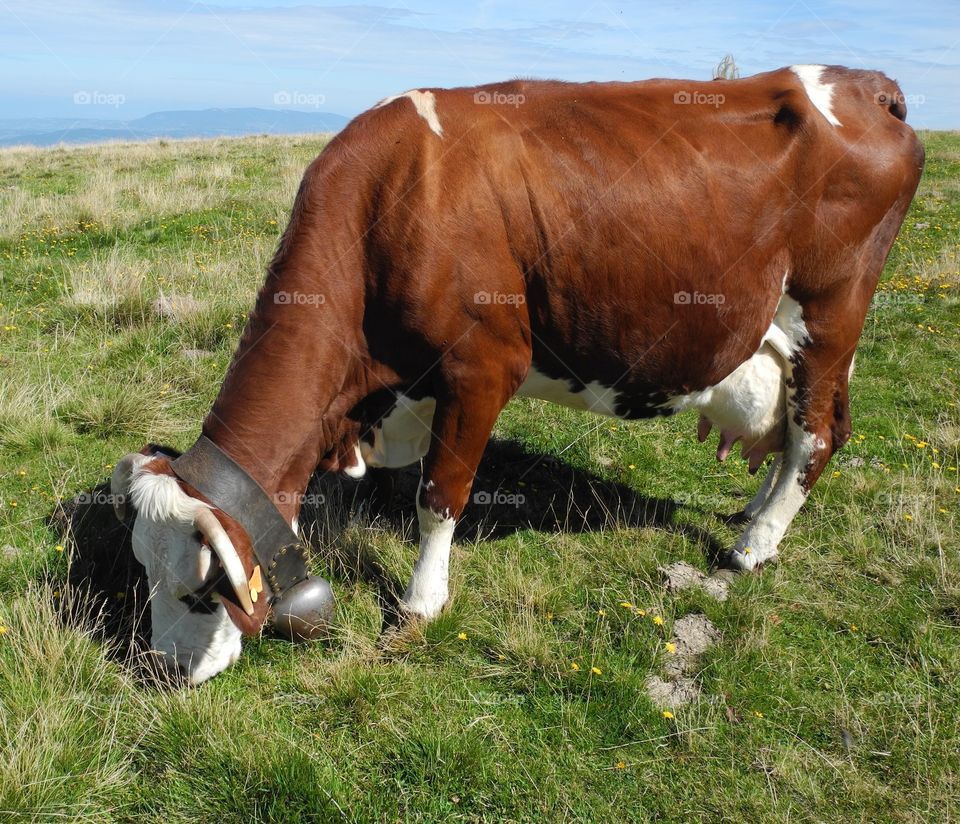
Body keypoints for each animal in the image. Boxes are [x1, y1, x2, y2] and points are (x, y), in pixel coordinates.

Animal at [110, 62, 924, 684]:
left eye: (198, 592)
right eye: (140, 570)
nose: (163, 672)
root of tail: (862, 84)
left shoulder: (481, 369)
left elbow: (440, 496)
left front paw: (421, 604)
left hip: (830, 314)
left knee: (817, 434)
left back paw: (753, 549)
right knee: (804, 431)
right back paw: (754, 515)